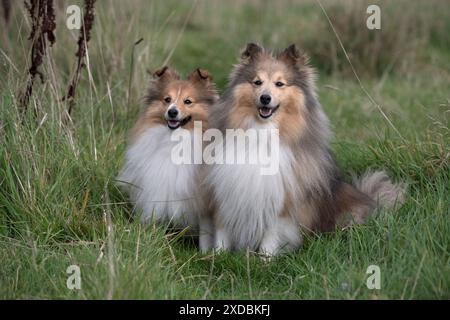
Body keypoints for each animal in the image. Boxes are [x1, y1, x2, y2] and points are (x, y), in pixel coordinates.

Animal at [118, 66, 219, 249]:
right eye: (167, 99)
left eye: (188, 101)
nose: (172, 112)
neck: (174, 141)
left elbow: (205, 233)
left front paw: (205, 252)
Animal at [206, 43, 406, 256]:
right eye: (257, 82)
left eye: (280, 84)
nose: (265, 98)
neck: (262, 132)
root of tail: (369, 198)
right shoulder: (225, 192)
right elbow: (222, 231)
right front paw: (216, 256)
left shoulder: (280, 201)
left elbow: (270, 235)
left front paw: (265, 260)